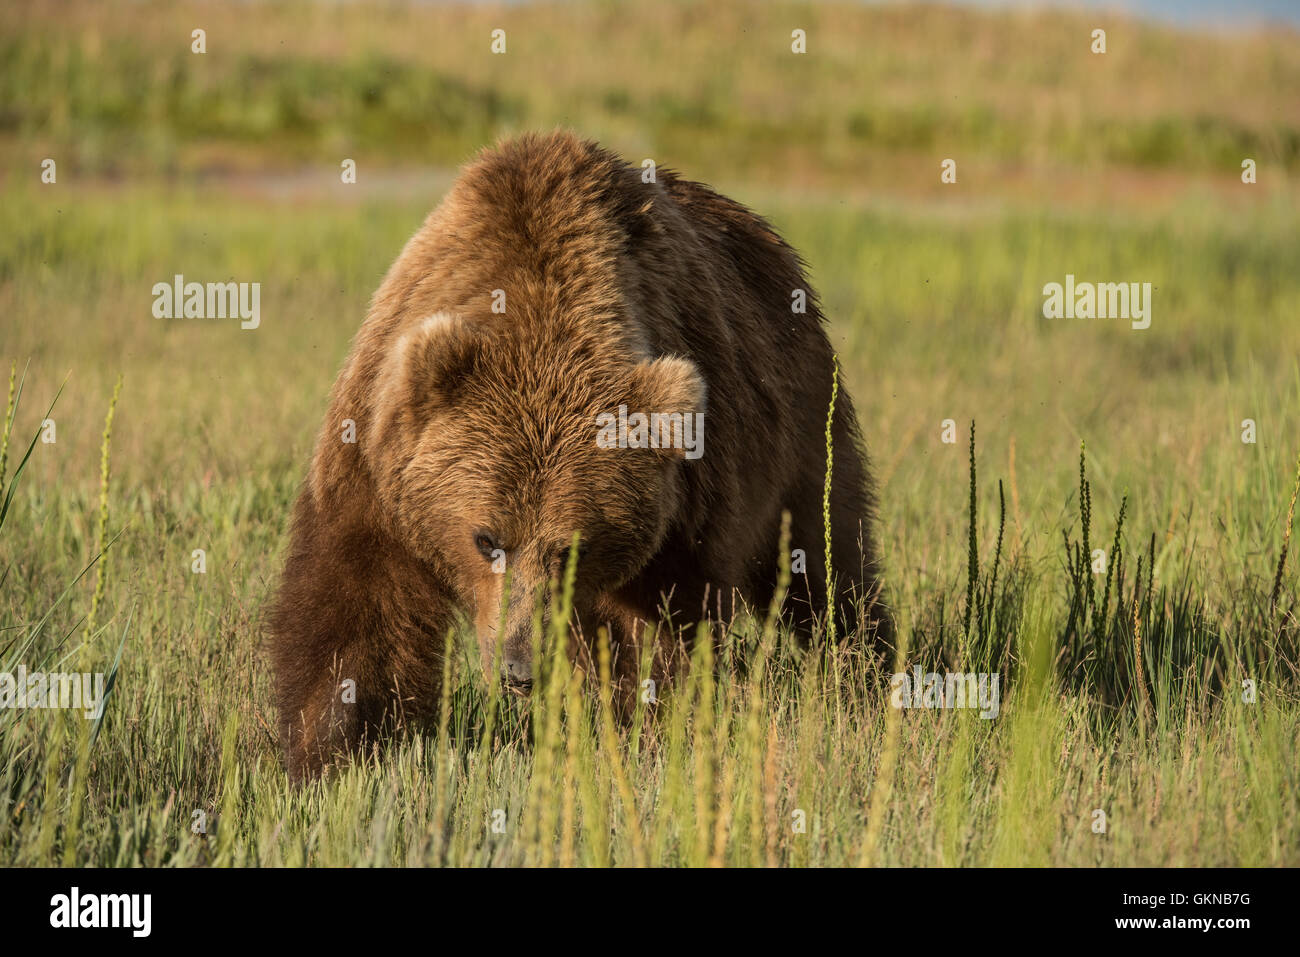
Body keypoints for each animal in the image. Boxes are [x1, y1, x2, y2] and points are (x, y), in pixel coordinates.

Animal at [268, 130, 889, 781]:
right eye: (486, 538)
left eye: (573, 550)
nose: (520, 668)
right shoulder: (378, 456)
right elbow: (358, 602)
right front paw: (330, 752)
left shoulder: (682, 507)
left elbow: (657, 632)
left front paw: (643, 736)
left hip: (803, 422)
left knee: (828, 559)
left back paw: (863, 671)